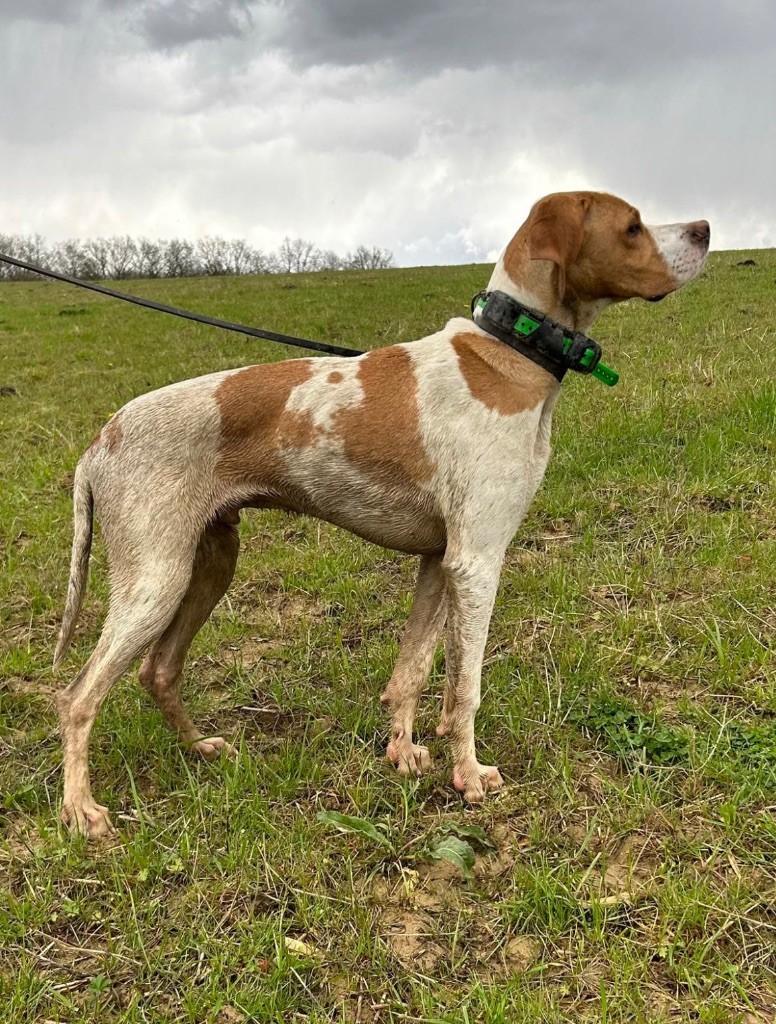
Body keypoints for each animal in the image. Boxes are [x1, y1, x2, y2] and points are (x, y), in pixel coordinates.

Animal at [53, 193, 712, 839]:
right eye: (632, 226)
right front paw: (469, 778)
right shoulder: (477, 561)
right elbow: (465, 689)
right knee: (78, 696)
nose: (705, 228)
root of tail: (98, 444)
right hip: (154, 580)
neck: (507, 355)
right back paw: (81, 810)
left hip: (209, 565)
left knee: (159, 671)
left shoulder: (439, 561)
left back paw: (200, 749)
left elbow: (411, 673)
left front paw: (403, 754)